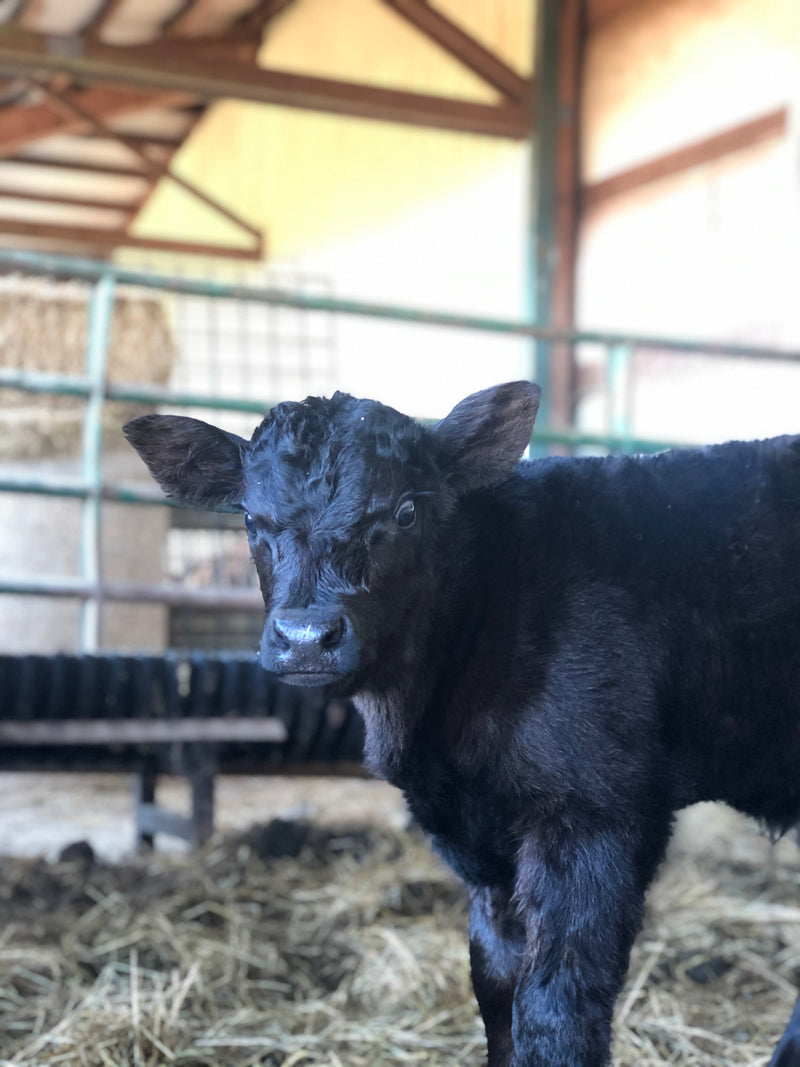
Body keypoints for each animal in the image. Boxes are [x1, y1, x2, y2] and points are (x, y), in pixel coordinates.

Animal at [124, 381, 800, 1066]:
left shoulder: (598, 809)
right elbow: (495, 983)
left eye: (404, 513)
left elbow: (557, 1003)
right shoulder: (474, 831)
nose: (306, 638)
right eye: (250, 521)